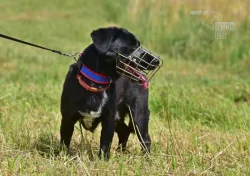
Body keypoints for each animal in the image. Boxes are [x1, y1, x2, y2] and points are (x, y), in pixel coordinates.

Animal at [59, 26, 159, 160]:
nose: (156, 61)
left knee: (145, 139)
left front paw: (102, 161)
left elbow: (105, 145)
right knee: (125, 131)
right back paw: (121, 152)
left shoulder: (109, 120)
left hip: (138, 115)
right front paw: (63, 158)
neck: (96, 83)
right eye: (132, 46)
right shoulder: (68, 118)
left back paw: (146, 159)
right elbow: (65, 143)